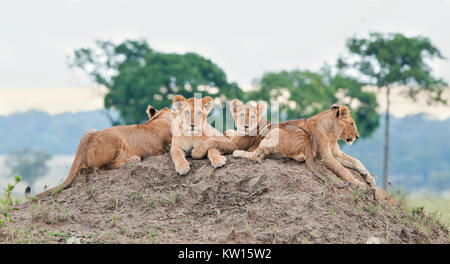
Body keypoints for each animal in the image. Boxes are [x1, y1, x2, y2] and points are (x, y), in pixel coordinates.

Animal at [37, 105, 175, 198]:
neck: (161, 117)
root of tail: (82, 148)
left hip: (90, 130)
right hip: (115, 137)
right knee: (103, 168)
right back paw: (133, 159)